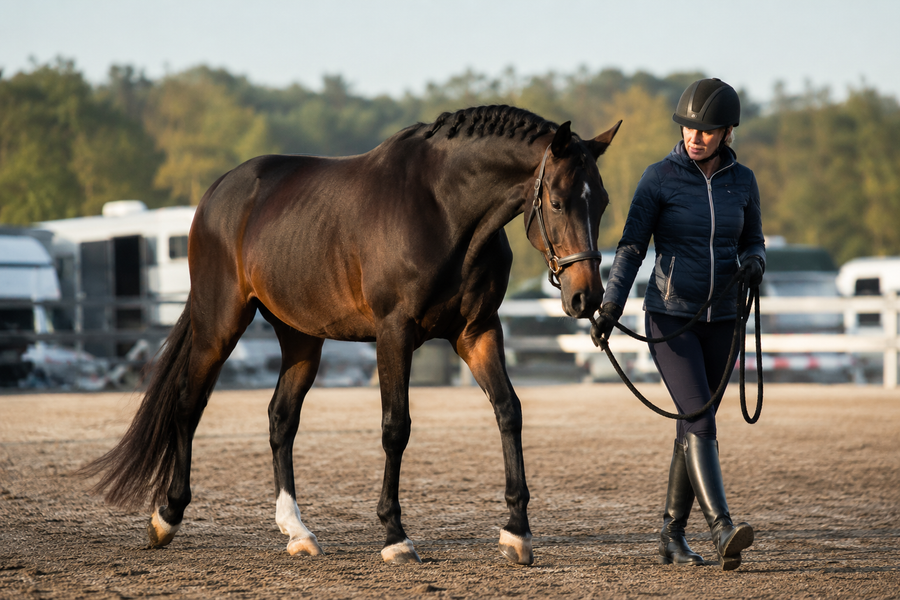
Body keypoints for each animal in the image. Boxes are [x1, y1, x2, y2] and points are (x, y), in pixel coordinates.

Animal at [82, 105, 621, 565]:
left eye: (603, 202)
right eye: (557, 202)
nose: (587, 298)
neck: (444, 210)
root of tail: (218, 193)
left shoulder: (479, 331)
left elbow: (509, 412)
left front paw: (516, 532)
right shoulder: (394, 332)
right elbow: (395, 427)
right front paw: (395, 537)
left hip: (300, 338)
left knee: (281, 419)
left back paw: (297, 531)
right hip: (219, 324)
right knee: (188, 404)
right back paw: (167, 516)